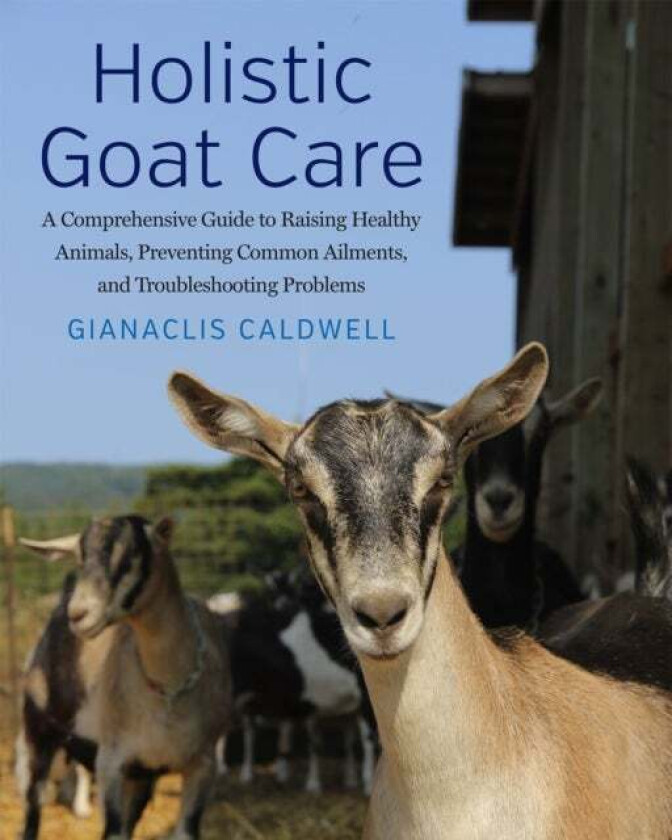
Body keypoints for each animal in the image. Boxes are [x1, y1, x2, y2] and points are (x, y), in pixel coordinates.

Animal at [19, 516, 231, 840]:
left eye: (132, 557)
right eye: (80, 558)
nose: (78, 614)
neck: (168, 688)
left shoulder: (202, 764)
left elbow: (184, 831)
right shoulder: (111, 761)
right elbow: (114, 832)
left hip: (140, 775)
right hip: (39, 728)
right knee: (34, 804)